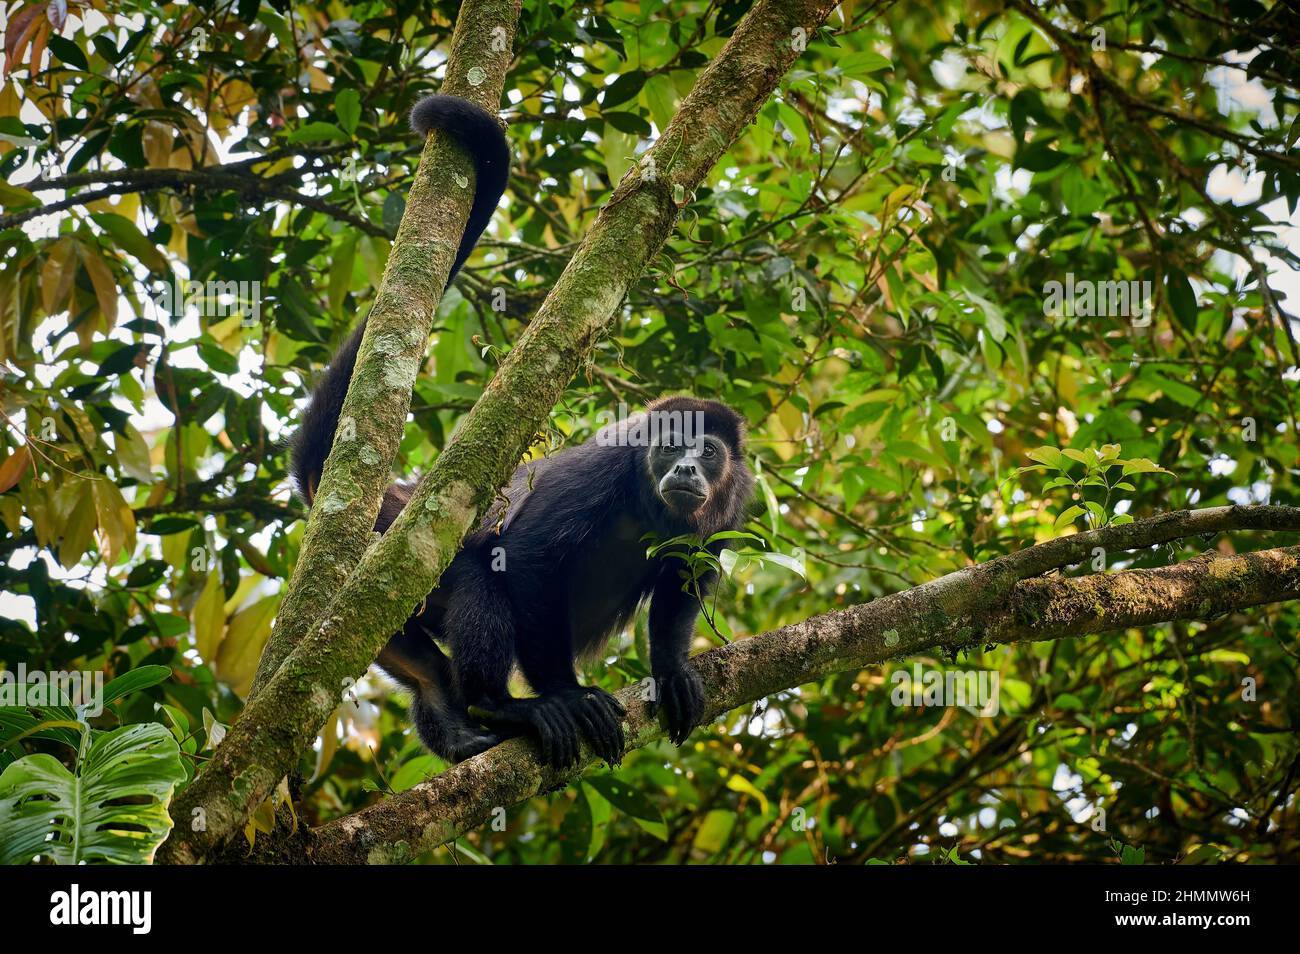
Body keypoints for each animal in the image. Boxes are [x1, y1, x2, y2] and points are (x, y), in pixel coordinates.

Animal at [289, 95, 759, 769]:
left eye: (709, 451)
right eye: (671, 444)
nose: (687, 467)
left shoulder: (735, 503)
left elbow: (682, 584)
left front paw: (669, 670)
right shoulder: (600, 473)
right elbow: (528, 561)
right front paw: (567, 693)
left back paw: (450, 713)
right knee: (481, 571)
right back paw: (502, 707)